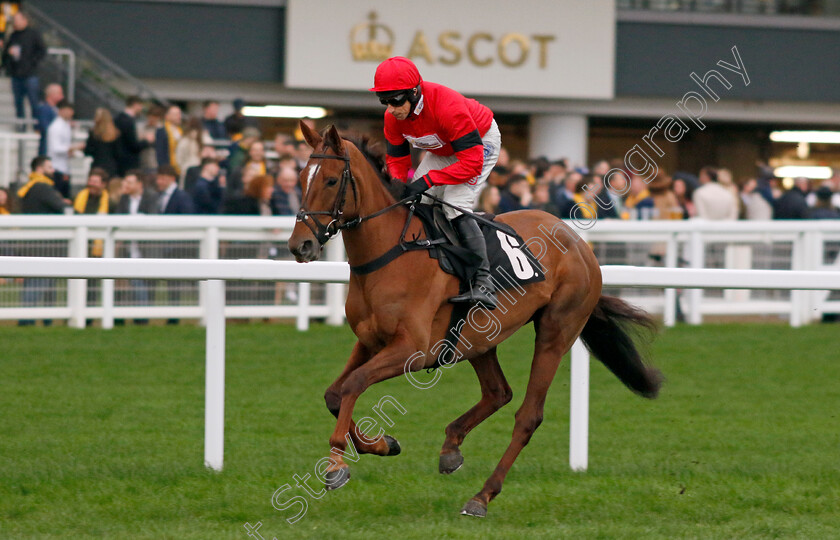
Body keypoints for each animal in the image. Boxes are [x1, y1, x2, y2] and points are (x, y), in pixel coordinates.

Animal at [288, 123, 664, 520]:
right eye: (301, 176)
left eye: (330, 180)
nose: (300, 246)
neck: (391, 252)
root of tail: (577, 242)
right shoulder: (370, 340)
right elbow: (335, 394)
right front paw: (383, 444)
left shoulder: (412, 349)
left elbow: (353, 384)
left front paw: (335, 465)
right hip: (478, 337)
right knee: (498, 392)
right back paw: (451, 448)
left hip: (556, 330)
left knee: (527, 415)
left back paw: (482, 496)